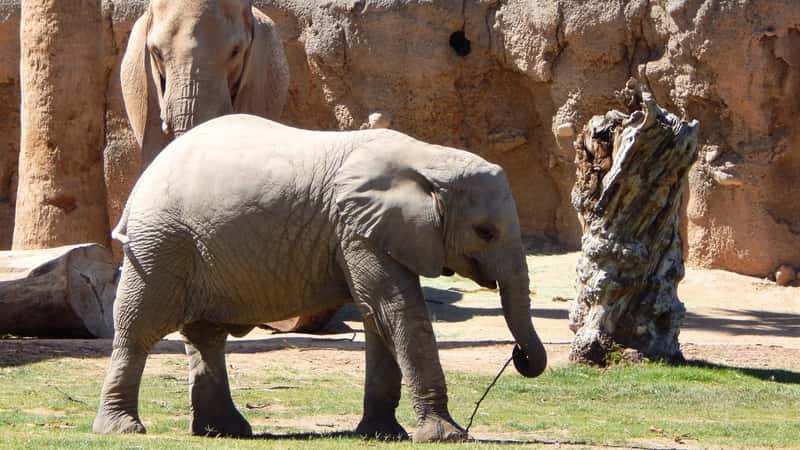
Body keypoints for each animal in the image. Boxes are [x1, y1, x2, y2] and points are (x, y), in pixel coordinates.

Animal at [92, 114, 548, 442]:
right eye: (485, 232)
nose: (518, 356)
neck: (427, 156)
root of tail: (144, 177)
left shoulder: (368, 231)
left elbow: (378, 317)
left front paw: (383, 435)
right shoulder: (356, 228)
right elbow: (394, 310)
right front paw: (445, 436)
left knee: (207, 336)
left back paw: (223, 431)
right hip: (161, 242)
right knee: (139, 328)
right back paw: (123, 429)